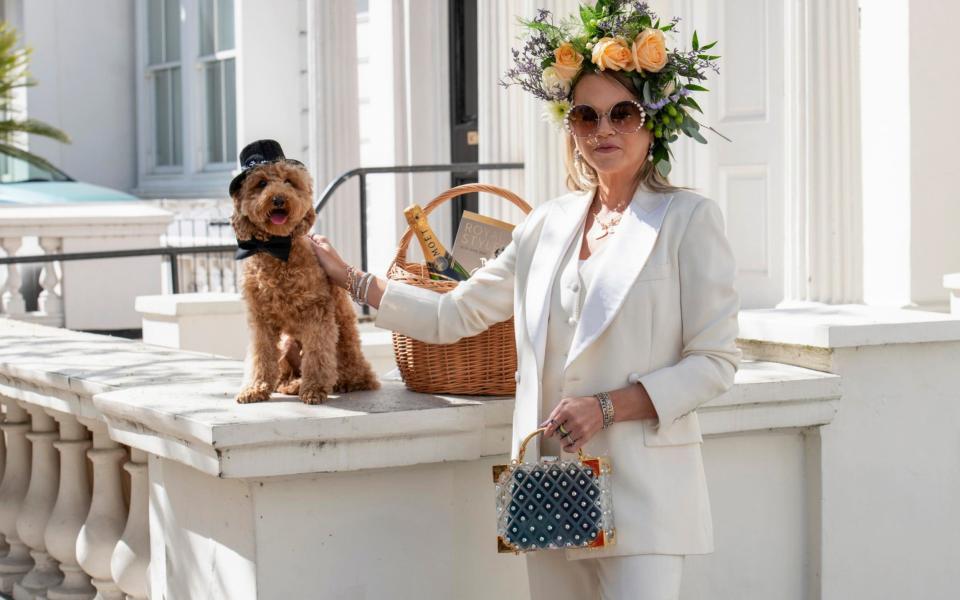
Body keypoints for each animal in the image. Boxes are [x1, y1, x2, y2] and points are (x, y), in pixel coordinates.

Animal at [231, 139, 380, 406]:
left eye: (289, 181)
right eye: (261, 183)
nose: (279, 199)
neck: (277, 251)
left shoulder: (317, 314)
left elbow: (318, 354)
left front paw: (314, 389)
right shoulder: (261, 319)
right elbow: (261, 355)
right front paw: (255, 388)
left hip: (345, 343)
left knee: (346, 372)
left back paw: (326, 383)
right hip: (287, 344)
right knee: (285, 372)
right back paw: (289, 384)